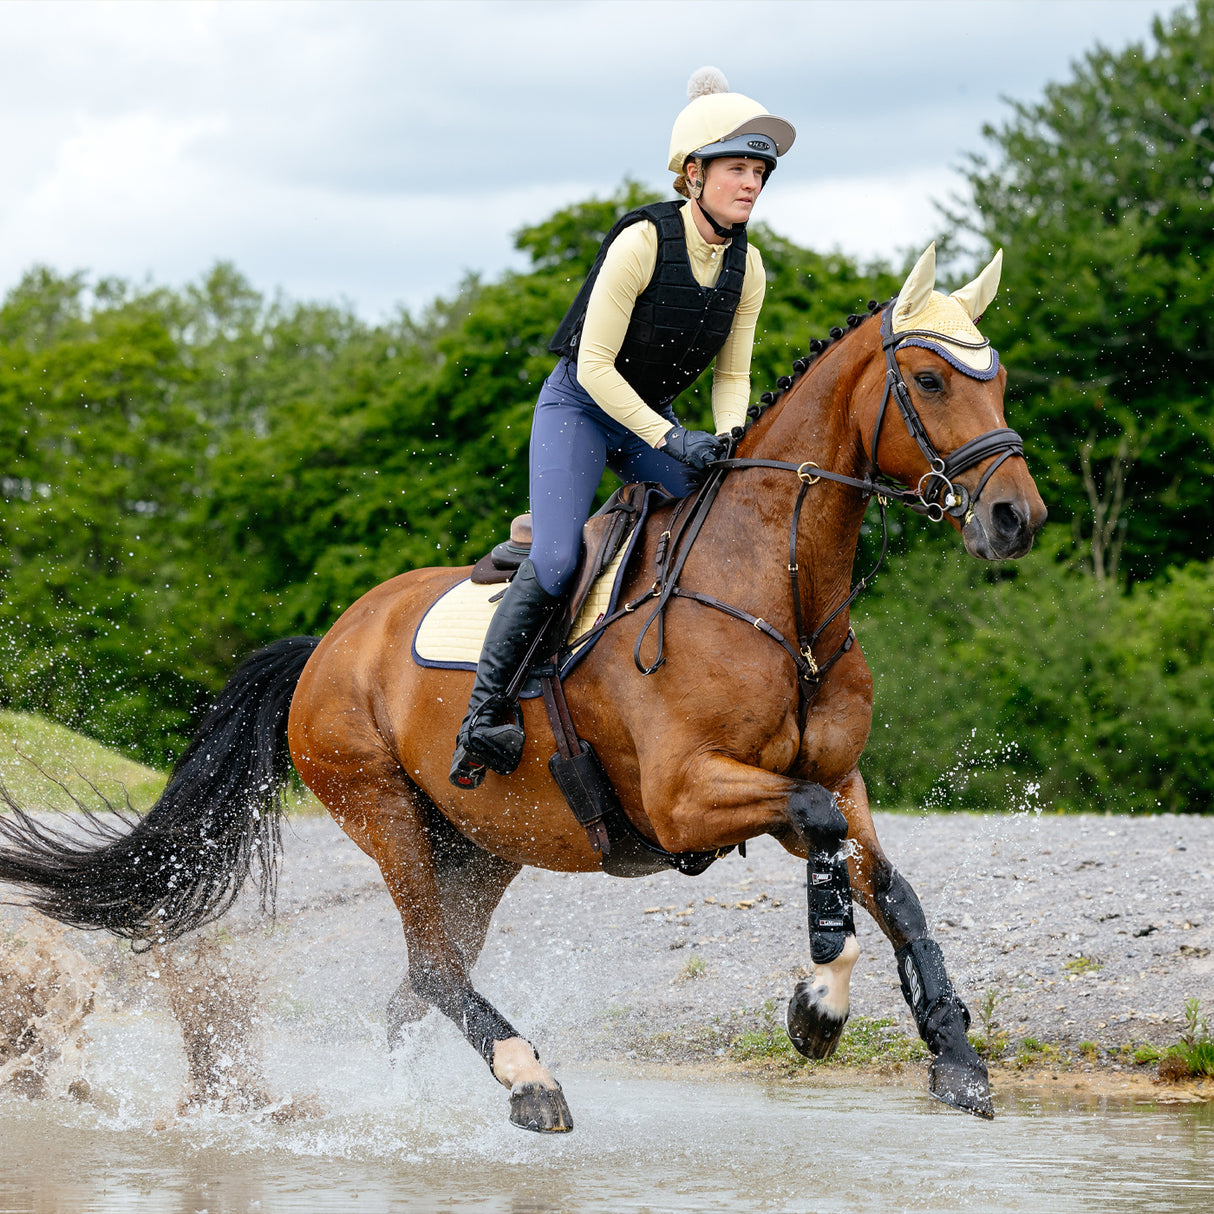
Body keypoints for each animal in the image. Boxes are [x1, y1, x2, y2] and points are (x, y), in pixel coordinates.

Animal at [0, 244, 1044, 1126]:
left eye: (998, 380)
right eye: (930, 379)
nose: (1015, 518)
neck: (779, 597)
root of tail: (327, 643)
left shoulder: (827, 776)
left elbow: (890, 885)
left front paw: (951, 1057)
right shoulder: (684, 796)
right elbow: (826, 834)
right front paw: (819, 1000)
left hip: (481, 845)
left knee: (415, 988)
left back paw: (413, 1105)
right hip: (381, 809)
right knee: (429, 969)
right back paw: (529, 1080)